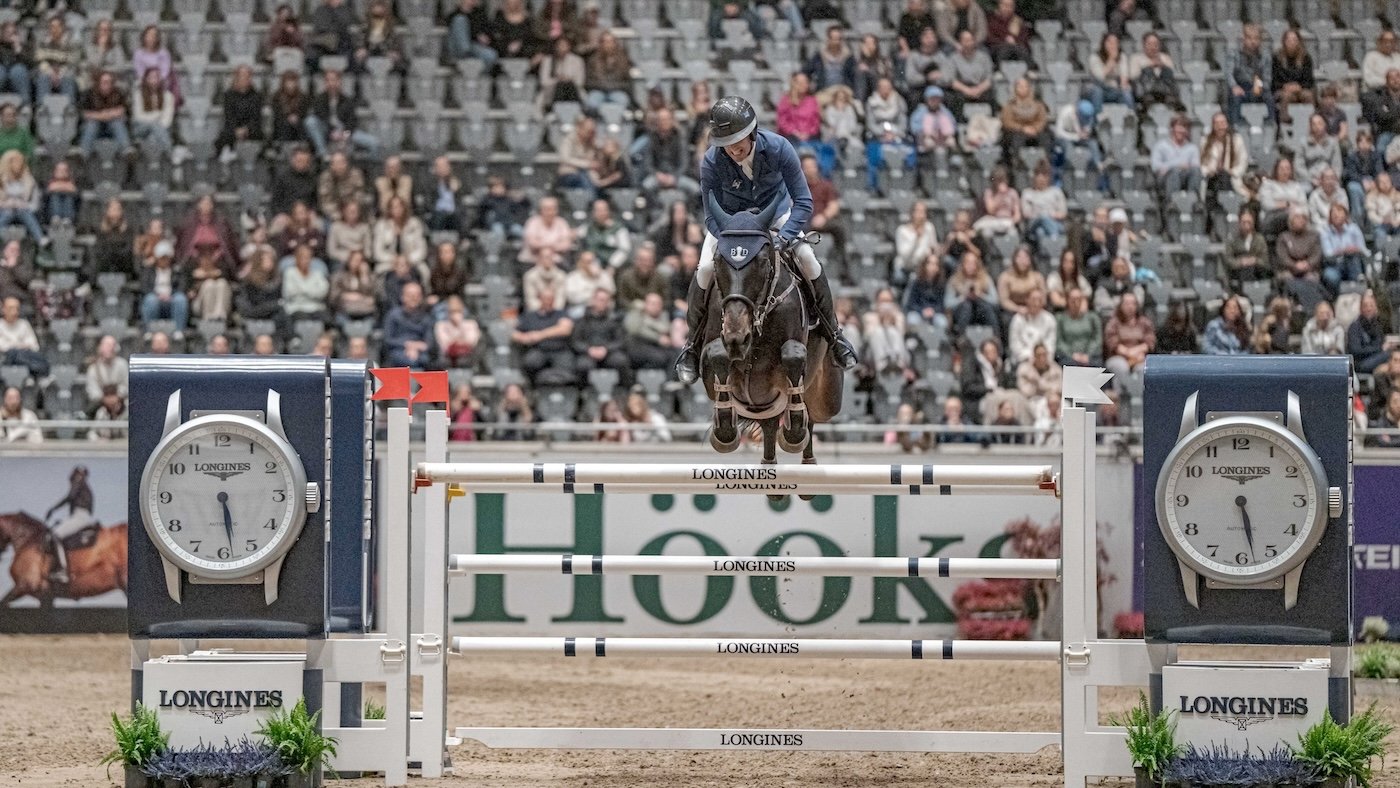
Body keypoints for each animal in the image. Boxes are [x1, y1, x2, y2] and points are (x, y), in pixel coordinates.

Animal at [691, 193, 834, 498]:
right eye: (719, 261)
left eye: (762, 262)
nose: (737, 337)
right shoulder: (710, 365)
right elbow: (717, 354)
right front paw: (725, 433)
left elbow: (793, 356)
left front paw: (793, 433)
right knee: (769, 423)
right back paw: (771, 471)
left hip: (827, 397)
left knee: (809, 413)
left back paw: (805, 460)